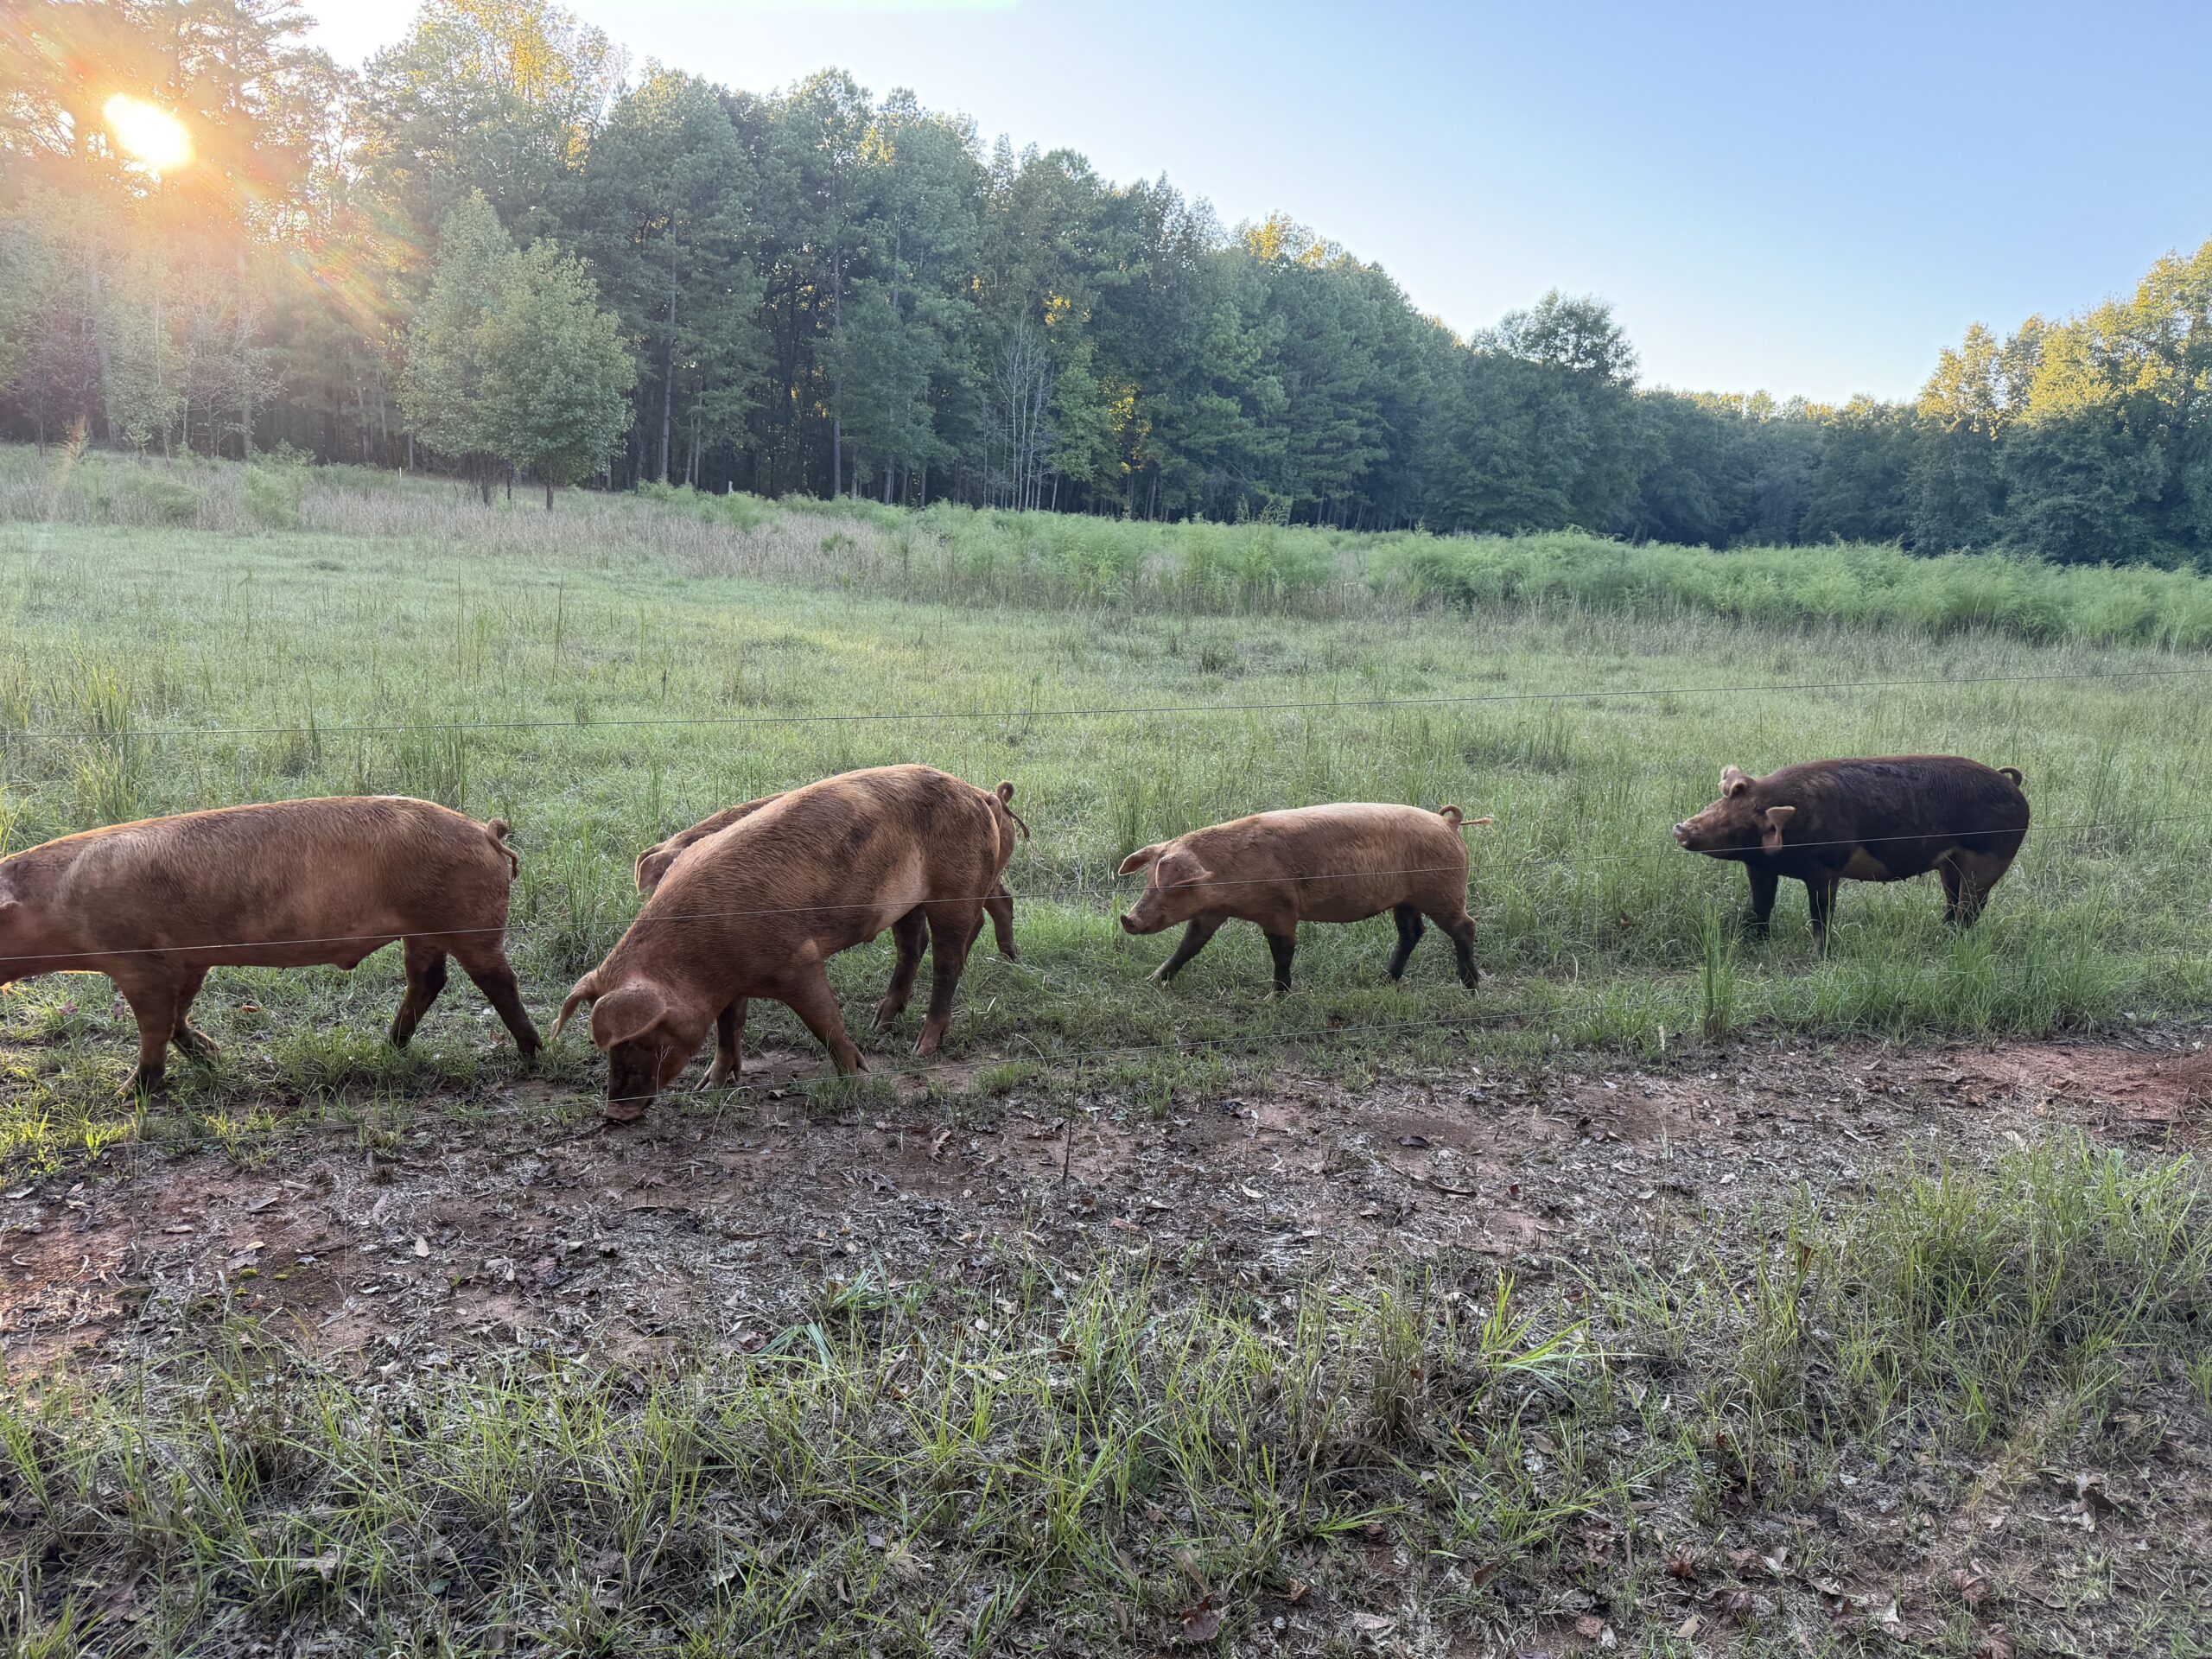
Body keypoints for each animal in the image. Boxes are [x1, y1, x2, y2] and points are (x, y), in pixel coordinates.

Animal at [0, 797, 540, 1095]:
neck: (58, 907)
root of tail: (486, 833)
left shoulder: (138, 961)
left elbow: (153, 1024)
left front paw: (128, 1094)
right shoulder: (188, 959)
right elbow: (178, 1015)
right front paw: (213, 1056)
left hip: (468, 921)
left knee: (498, 981)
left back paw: (531, 1055)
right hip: (422, 930)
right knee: (428, 981)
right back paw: (389, 1046)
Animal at [553, 765, 1022, 1120]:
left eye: (644, 1039)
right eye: (605, 1048)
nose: (614, 1114)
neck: (699, 961)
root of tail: (980, 795)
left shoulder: (798, 961)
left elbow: (825, 1021)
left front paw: (857, 1076)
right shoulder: (731, 983)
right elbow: (728, 1026)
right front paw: (710, 1087)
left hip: (955, 891)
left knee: (950, 960)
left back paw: (922, 1048)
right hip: (909, 902)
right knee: (914, 946)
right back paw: (881, 1024)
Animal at [1116, 804, 1490, 995]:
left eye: (1174, 886)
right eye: (1148, 882)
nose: (1128, 919)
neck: (1227, 874)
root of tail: (1450, 824)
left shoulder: (1280, 910)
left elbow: (1283, 953)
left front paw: (1274, 998)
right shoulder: (1211, 912)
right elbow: (1189, 945)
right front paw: (1152, 981)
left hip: (1443, 891)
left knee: (1466, 927)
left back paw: (1470, 986)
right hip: (1406, 899)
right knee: (1412, 932)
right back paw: (1384, 980)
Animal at [1672, 756, 2030, 948]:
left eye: (1737, 819)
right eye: (1717, 804)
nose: (1681, 828)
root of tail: (2011, 785)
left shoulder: (1826, 869)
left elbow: (1820, 915)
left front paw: (1821, 955)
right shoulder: (1759, 867)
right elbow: (1761, 906)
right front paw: (1756, 941)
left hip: (1990, 858)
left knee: (1973, 907)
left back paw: (1955, 944)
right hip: (1950, 864)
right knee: (1953, 901)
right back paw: (1943, 933)